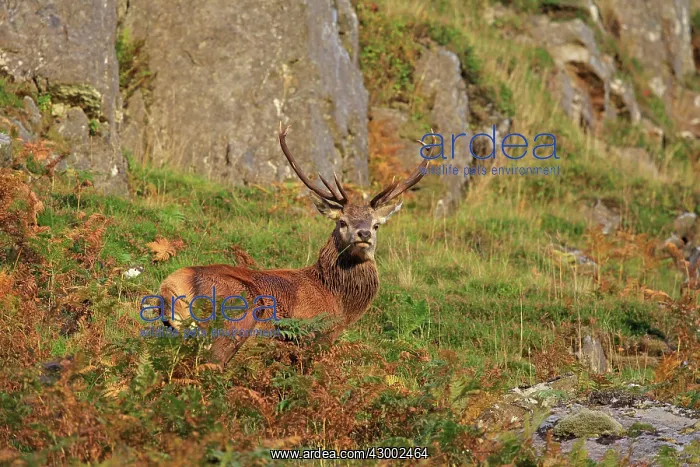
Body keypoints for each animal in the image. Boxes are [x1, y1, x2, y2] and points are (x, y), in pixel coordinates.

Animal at [156, 124, 432, 367]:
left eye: (376, 225)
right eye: (342, 221)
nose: (363, 233)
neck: (339, 302)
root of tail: (171, 288)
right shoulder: (314, 335)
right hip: (236, 314)